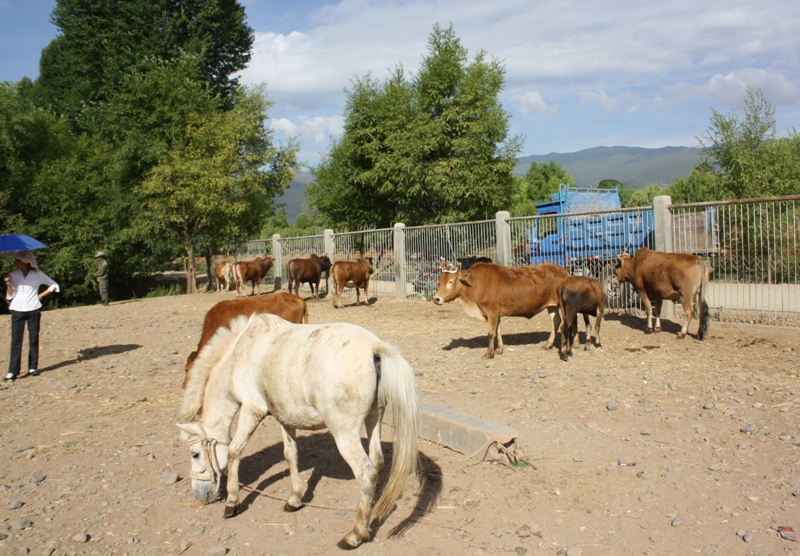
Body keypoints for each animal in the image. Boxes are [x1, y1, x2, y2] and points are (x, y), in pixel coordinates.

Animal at [177, 312, 422, 548]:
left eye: (195, 454)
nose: (200, 496)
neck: (240, 353)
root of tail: (374, 347)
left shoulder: (251, 410)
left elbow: (234, 451)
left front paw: (231, 502)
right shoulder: (284, 417)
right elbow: (290, 455)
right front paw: (294, 499)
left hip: (344, 433)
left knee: (366, 473)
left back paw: (354, 536)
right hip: (374, 418)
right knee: (377, 461)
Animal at [434, 262, 572, 358]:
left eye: (450, 281)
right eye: (439, 281)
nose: (436, 299)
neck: (474, 284)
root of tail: (565, 273)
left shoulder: (492, 312)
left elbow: (491, 332)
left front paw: (489, 353)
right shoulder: (496, 313)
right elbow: (498, 330)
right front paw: (499, 349)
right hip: (552, 306)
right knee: (556, 321)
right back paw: (548, 344)